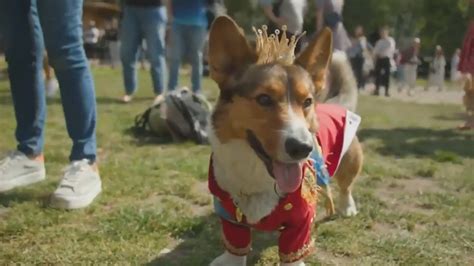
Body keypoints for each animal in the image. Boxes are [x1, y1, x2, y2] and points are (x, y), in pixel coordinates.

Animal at [206, 17, 362, 266]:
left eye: (307, 101)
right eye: (263, 99)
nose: (303, 149)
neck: (256, 173)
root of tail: (334, 103)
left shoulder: (301, 220)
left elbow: (293, 250)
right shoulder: (230, 215)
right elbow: (236, 244)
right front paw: (230, 260)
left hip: (350, 162)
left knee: (347, 185)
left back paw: (347, 207)